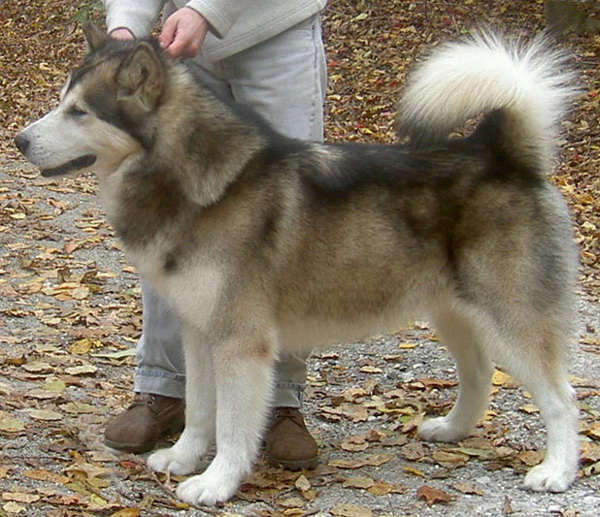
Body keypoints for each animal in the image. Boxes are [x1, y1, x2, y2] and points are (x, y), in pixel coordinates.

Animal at [16, 23, 580, 504]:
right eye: (62, 102)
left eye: (80, 111)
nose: (20, 140)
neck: (199, 184)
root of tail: (501, 155)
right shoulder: (199, 332)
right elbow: (198, 407)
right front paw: (183, 457)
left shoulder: (241, 341)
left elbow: (233, 424)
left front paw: (216, 482)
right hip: (455, 312)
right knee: (479, 372)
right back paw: (453, 430)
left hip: (512, 320)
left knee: (562, 398)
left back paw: (557, 470)